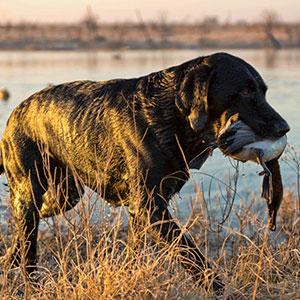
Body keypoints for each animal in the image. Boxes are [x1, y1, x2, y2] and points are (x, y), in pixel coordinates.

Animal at [0, 52, 290, 292]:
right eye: (245, 91)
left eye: (263, 91)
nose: (284, 127)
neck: (169, 114)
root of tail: (15, 114)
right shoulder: (150, 206)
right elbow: (189, 252)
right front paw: (218, 289)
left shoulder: (141, 208)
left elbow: (135, 251)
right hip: (30, 190)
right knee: (28, 244)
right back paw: (31, 283)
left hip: (64, 195)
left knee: (26, 230)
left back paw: (8, 258)